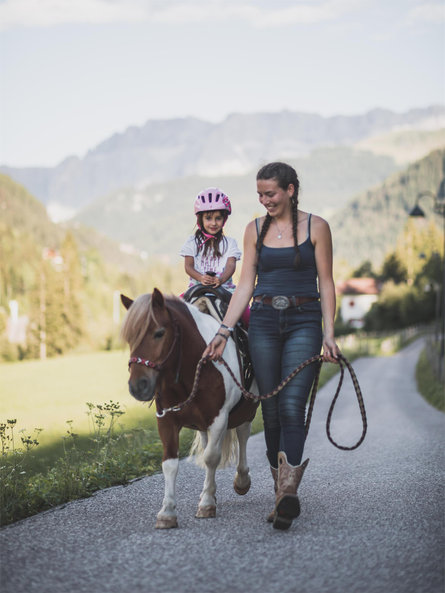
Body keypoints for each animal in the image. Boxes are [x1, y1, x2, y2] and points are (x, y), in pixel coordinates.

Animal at [119, 286, 258, 528]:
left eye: (159, 333)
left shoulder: (219, 419)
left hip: (247, 409)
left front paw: (207, 505)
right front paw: (167, 512)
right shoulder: (166, 421)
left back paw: (241, 480)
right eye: (130, 338)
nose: (138, 386)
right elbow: (170, 464)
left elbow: (212, 457)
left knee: (242, 434)